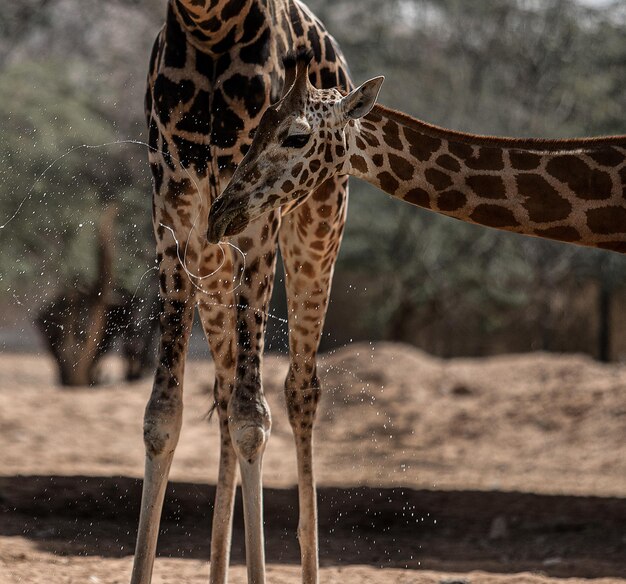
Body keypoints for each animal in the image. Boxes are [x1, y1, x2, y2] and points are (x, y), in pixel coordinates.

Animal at [133, 3, 352, 584]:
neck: (211, 27)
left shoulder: (257, 220)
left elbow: (254, 416)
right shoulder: (176, 213)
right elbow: (163, 415)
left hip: (317, 233)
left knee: (300, 388)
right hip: (213, 263)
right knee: (224, 386)